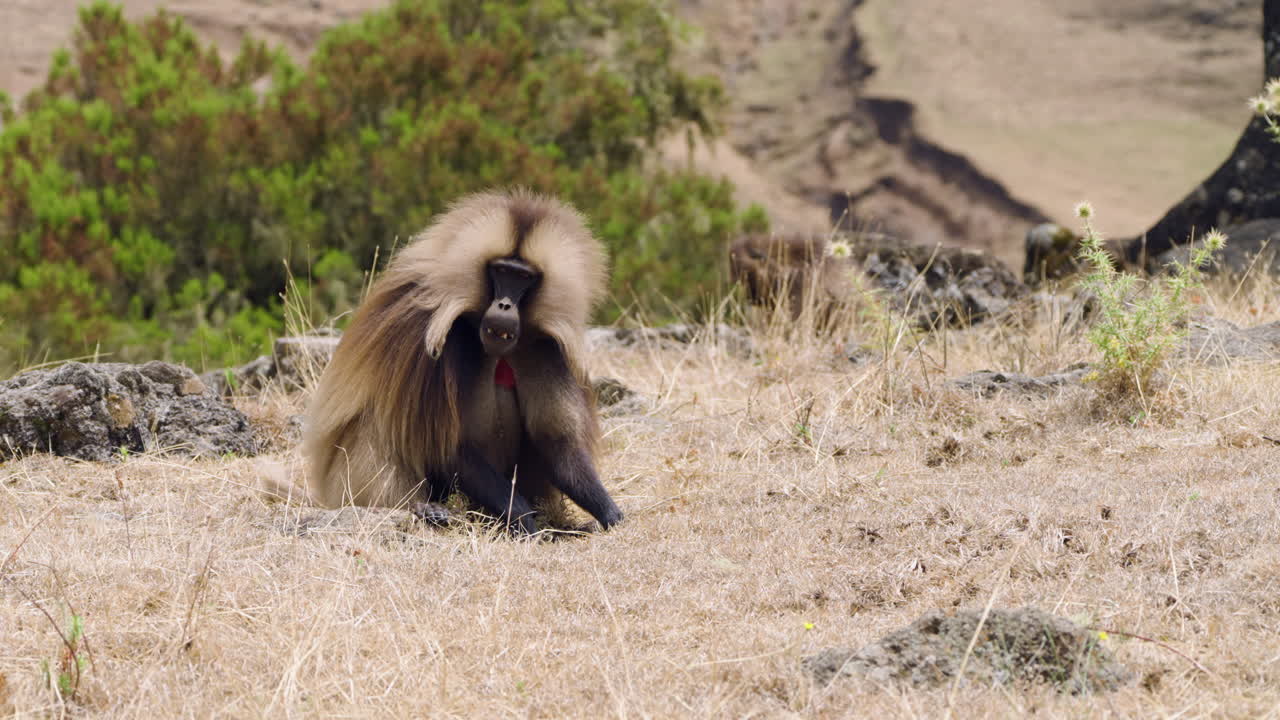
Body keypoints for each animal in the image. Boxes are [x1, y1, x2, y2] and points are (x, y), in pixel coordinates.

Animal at [299, 189, 623, 534]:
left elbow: (558, 447)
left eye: (523, 277)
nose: (505, 305)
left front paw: (608, 513)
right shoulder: (439, 341)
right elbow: (448, 447)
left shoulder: (543, 350)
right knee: (378, 425)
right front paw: (526, 522)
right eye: (501, 271)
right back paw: (427, 509)